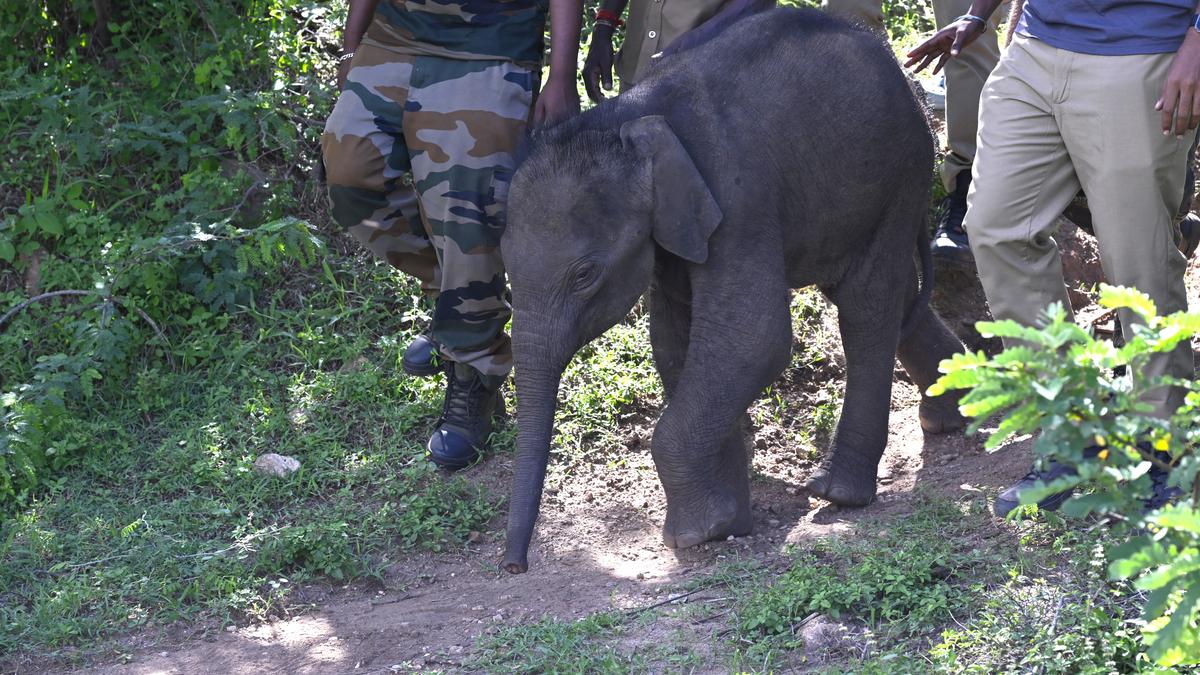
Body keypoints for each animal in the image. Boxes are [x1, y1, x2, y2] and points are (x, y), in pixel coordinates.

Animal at [496, 1, 964, 571]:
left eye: (585, 275)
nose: (514, 565)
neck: (627, 119)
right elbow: (677, 342)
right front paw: (728, 523)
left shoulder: (737, 198)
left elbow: (751, 338)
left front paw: (697, 535)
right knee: (888, 295)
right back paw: (952, 416)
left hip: (897, 172)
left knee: (865, 306)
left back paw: (839, 493)